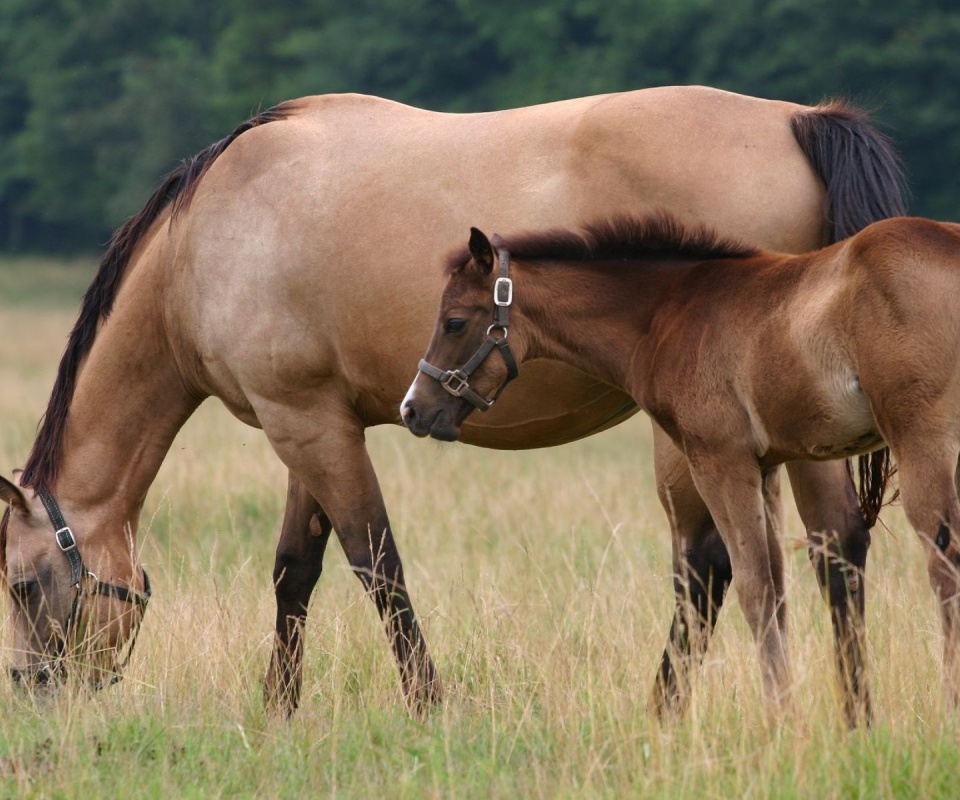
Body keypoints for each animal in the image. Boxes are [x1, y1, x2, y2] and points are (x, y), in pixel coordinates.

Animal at [0, 86, 900, 720]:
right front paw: (278, 710)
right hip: (793, 433)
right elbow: (296, 570)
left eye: (21, 585)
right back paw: (849, 715)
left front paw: (427, 704)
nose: (34, 688)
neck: (206, 242)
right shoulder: (312, 423)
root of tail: (800, 121)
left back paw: (668, 712)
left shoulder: (306, 425)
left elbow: (376, 565)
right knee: (833, 550)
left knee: (713, 567)